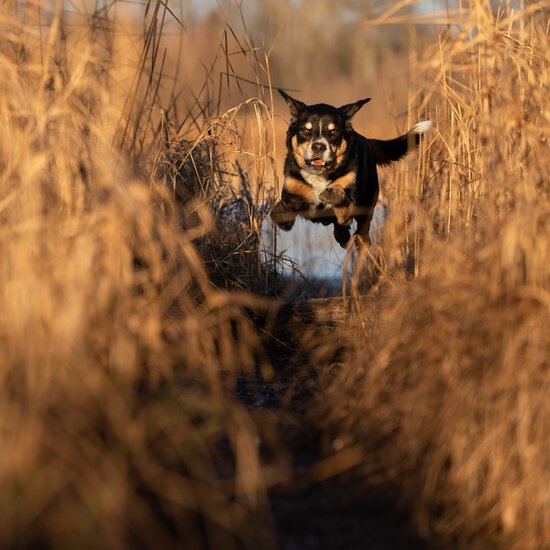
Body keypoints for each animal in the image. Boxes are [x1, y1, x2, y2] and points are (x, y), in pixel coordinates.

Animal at [274, 91, 434, 248]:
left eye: (333, 132)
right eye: (306, 130)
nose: (319, 146)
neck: (320, 176)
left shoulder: (350, 199)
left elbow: (343, 203)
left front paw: (333, 195)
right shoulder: (291, 189)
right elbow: (285, 211)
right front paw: (280, 209)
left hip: (368, 204)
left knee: (361, 231)